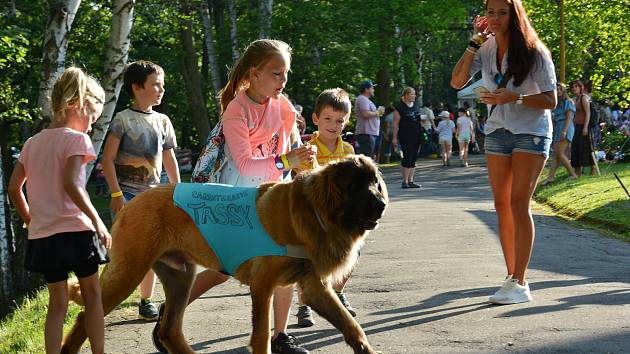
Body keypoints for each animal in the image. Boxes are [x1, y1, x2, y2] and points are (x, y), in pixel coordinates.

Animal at [64, 155, 390, 354]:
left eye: (375, 182)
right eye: (356, 186)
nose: (381, 204)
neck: (312, 210)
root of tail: (131, 203)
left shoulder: (313, 286)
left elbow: (351, 326)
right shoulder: (262, 285)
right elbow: (261, 335)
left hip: (180, 278)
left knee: (170, 330)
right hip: (129, 272)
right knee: (84, 318)